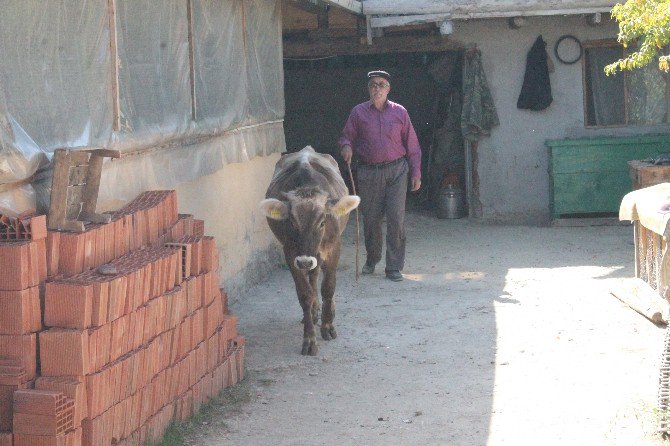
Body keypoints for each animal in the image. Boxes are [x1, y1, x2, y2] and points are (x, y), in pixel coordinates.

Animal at [258, 146, 362, 356]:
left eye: (322, 222)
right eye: (292, 222)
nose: (305, 260)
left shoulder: (334, 247)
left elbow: (328, 287)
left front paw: (328, 326)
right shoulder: (291, 253)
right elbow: (305, 294)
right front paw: (309, 339)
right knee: (312, 277)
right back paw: (313, 312)